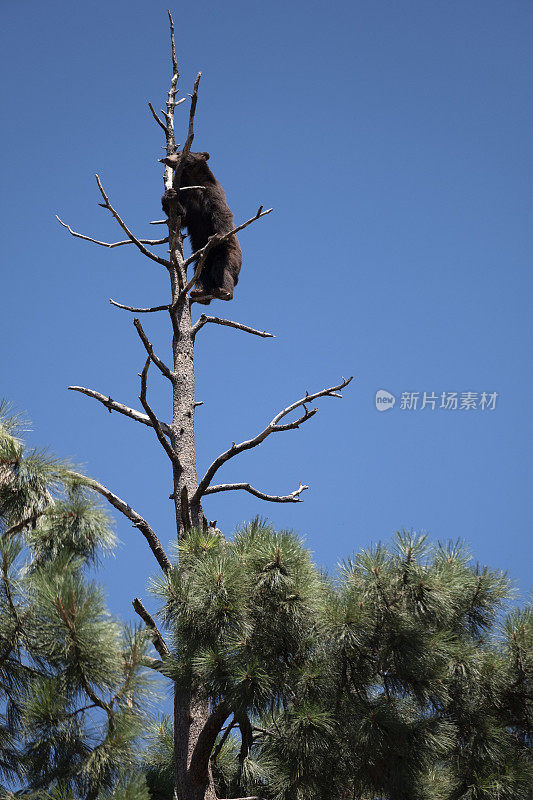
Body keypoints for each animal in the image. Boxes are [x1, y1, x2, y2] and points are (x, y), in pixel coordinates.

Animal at [159, 151, 240, 304]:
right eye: (175, 153)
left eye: (179, 153)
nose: (166, 158)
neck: (192, 180)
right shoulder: (186, 196)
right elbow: (182, 216)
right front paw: (168, 195)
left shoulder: (211, 191)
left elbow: (220, 211)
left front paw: (219, 235)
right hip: (203, 258)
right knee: (202, 271)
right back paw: (200, 292)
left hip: (229, 253)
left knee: (224, 267)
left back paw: (223, 291)